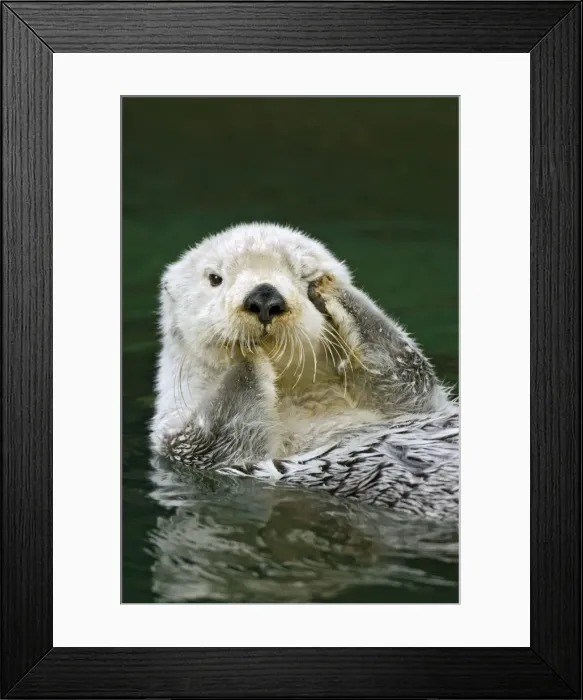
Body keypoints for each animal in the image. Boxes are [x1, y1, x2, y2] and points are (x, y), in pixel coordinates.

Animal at [151, 222, 458, 519]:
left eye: (304, 274)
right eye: (215, 278)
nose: (264, 296)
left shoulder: (416, 405)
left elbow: (407, 371)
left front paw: (333, 289)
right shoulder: (187, 443)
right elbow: (217, 430)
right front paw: (248, 353)